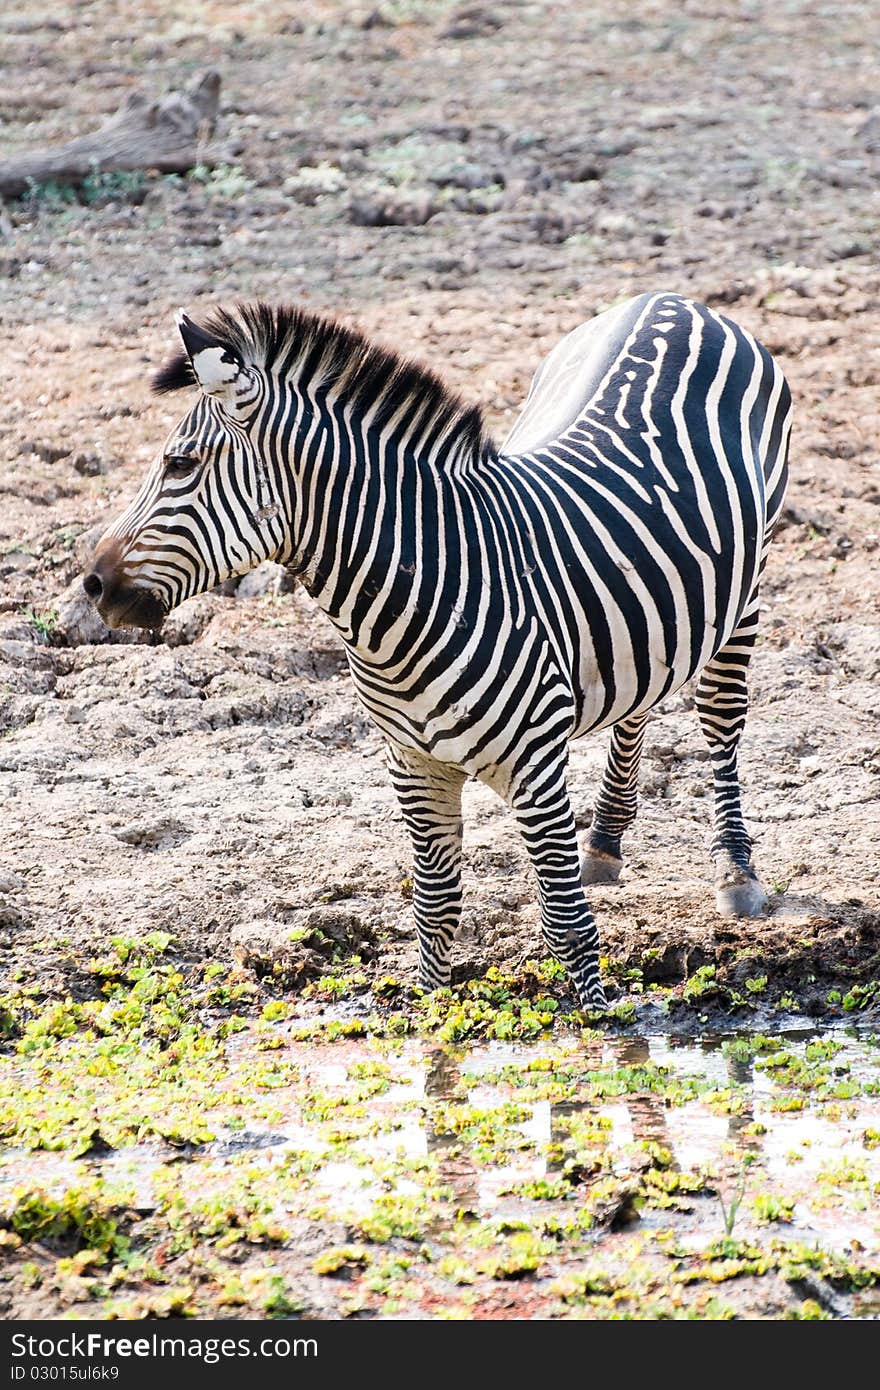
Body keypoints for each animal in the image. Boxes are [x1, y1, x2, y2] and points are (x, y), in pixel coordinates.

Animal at [85, 293, 795, 1011]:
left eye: (179, 465)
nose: (92, 585)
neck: (416, 596)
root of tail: (671, 301)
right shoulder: (412, 763)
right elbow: (436, 908)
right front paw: (430, 1015)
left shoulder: (537, 766)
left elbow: (565, 924)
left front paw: (601, 1024)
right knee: (640, 698)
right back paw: (604, 842)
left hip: (749, 581)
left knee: (720, 721)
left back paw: (735, 870)